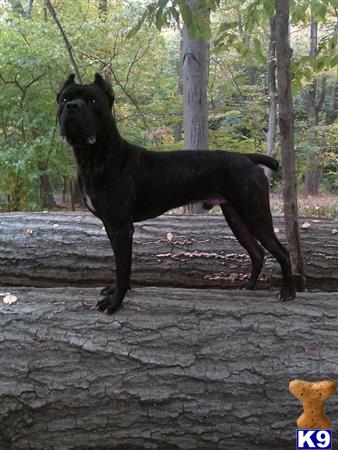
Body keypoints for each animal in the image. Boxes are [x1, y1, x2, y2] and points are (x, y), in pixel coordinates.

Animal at [57, 74, 296, 312]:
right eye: (64, 99)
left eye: (93, 100)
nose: (72, 106)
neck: (96, 156)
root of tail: (248, 158)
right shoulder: (110, 225)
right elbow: (121, 263)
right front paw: (116, 290)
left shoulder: (121, 227)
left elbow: (122, 266)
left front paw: (115, 302)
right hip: (235, 216)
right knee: (257, 252)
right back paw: (250, 285)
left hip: (254, 213)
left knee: (282, 252)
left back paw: (288, 292)